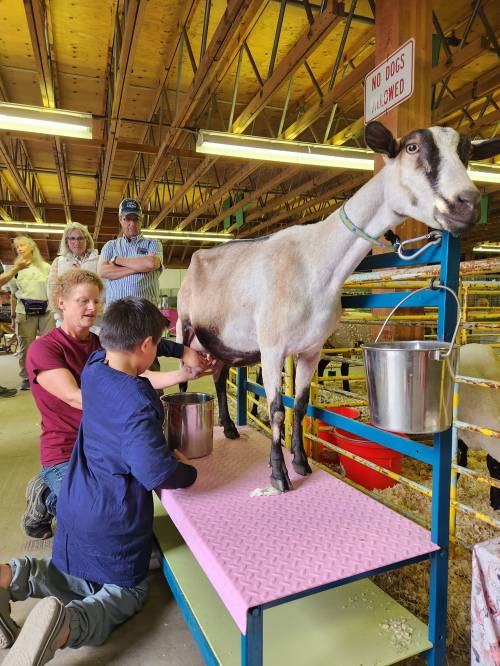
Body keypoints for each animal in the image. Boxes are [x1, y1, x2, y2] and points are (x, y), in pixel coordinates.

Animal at [177, 121, 500, 492]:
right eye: (412, 148)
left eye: (468, 153)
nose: (467, 205)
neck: (315, 261)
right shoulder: (272, 347)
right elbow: (276, 410)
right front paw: (279, 476)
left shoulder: (311, 348)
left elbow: (301, 405)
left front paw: (301, 463)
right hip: (186, 326)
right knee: (186, 378)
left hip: (221, 342)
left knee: (218, 377)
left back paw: (229, 429)